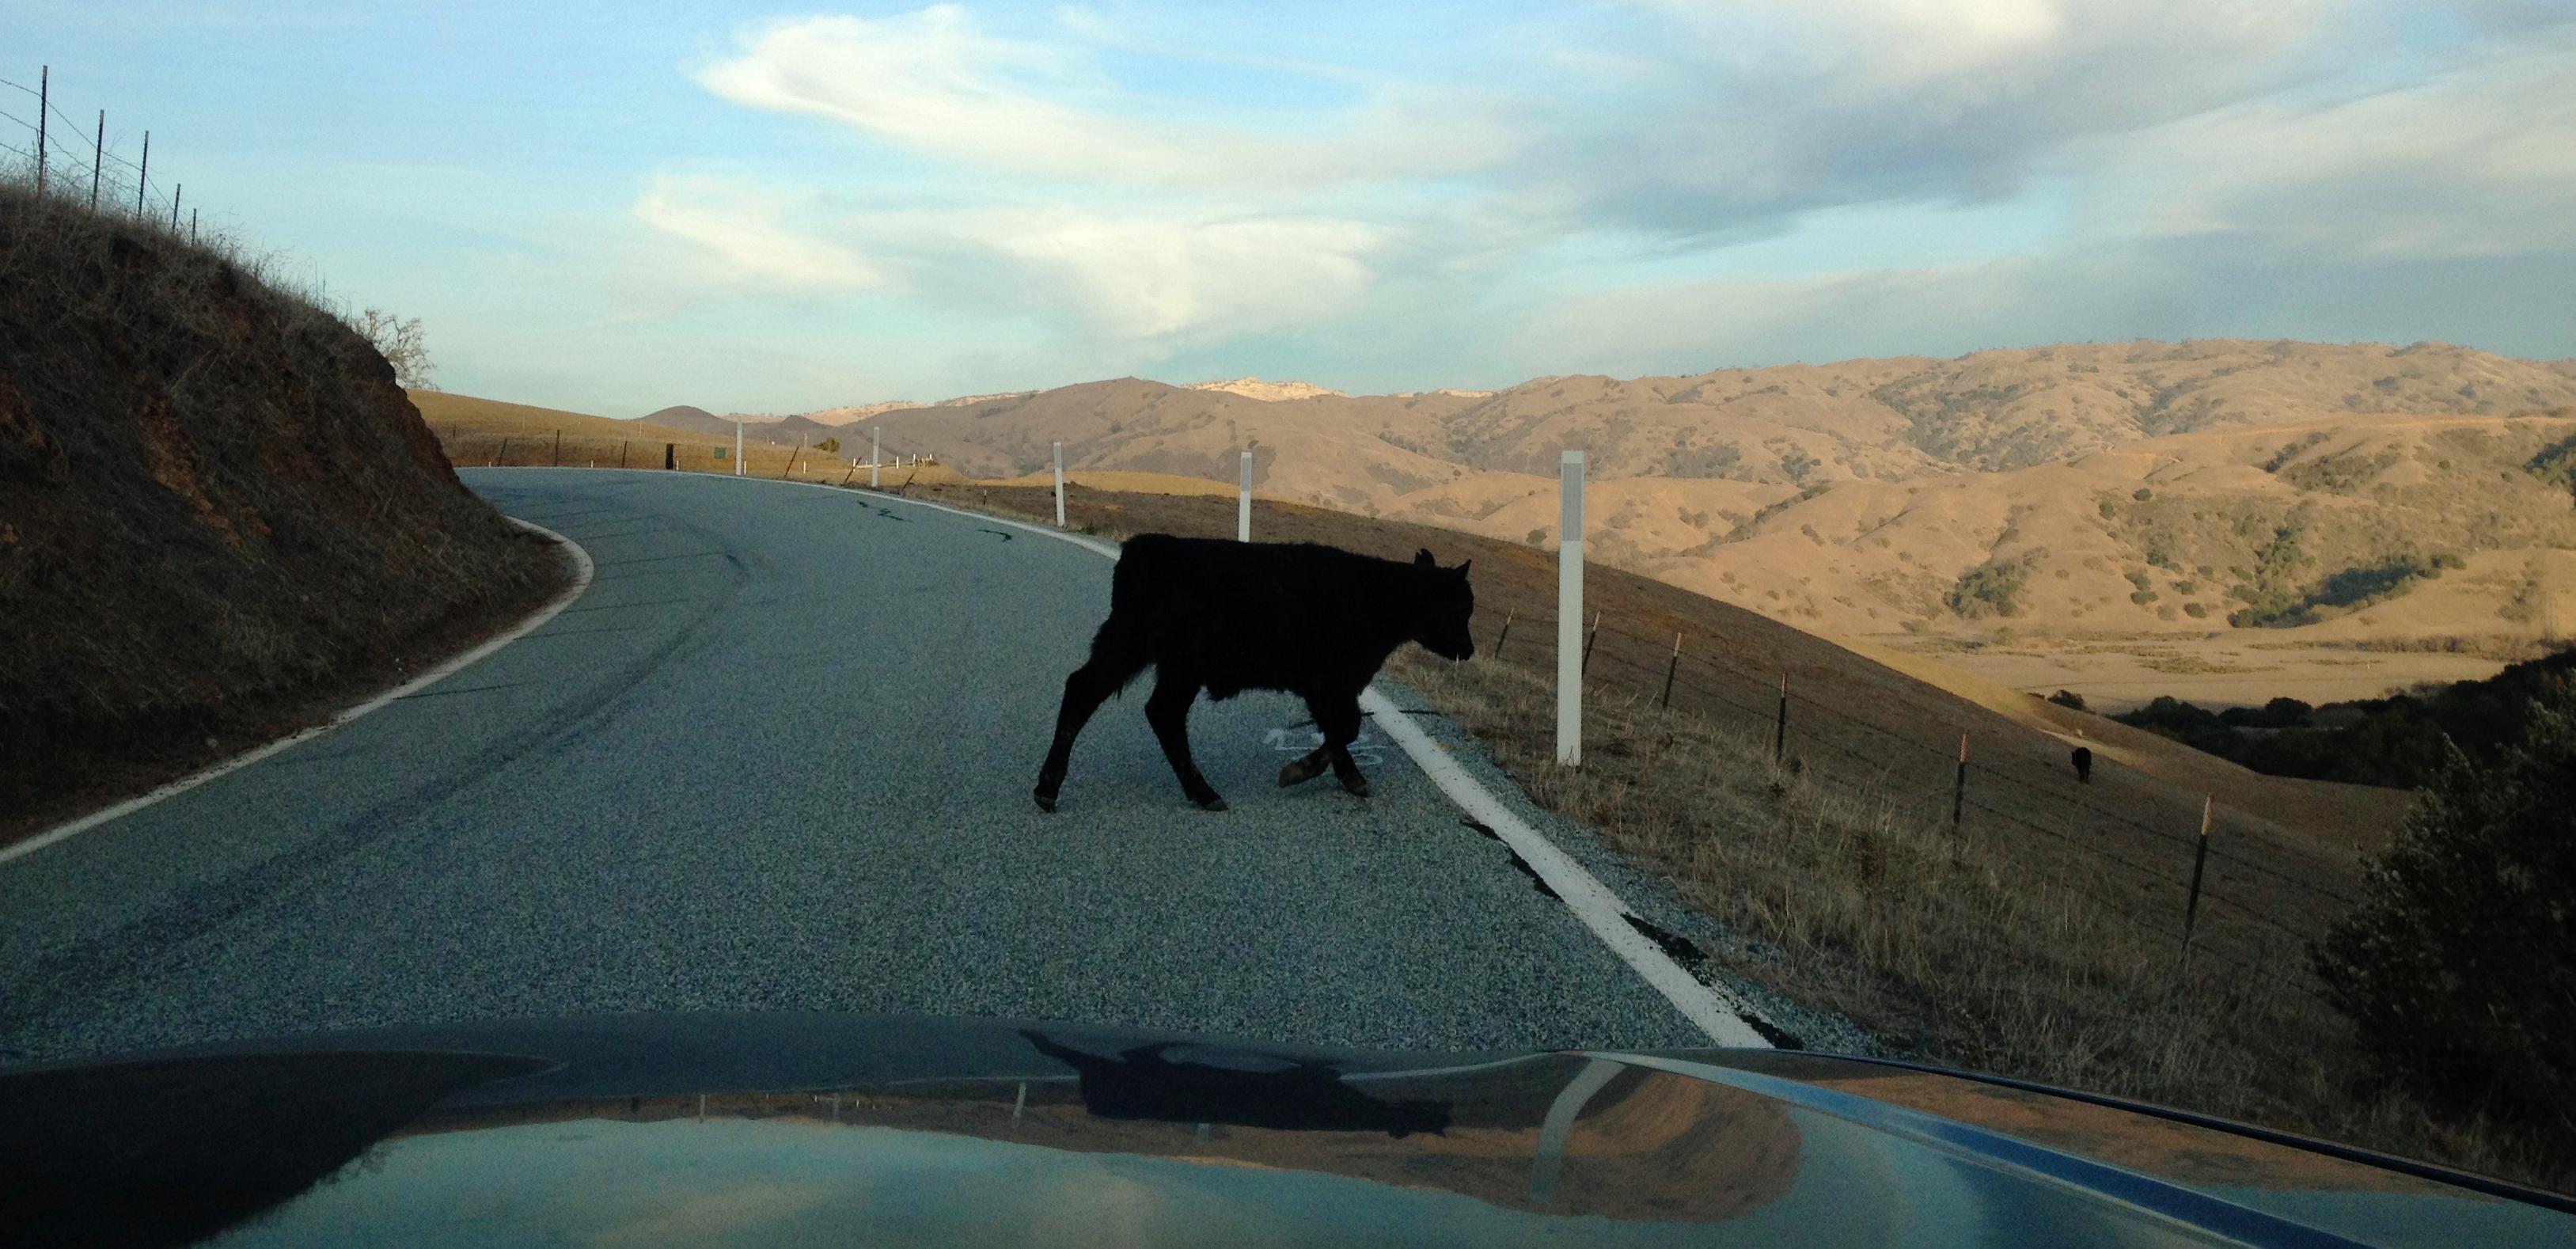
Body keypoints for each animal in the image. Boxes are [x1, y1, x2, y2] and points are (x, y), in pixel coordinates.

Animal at [1025, 533, 1473, 808]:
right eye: (1459, 607)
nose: (1469, 651)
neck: (1376, 597)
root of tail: (1140, 548)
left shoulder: (1328, 688)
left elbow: (1340, 729)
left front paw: (1349, 778)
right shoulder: (1327, 683)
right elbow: (1345, 728)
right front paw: (1299, 771)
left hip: (1147, 655)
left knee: (1115, 698)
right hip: (1162, 658)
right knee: (1130, 703)